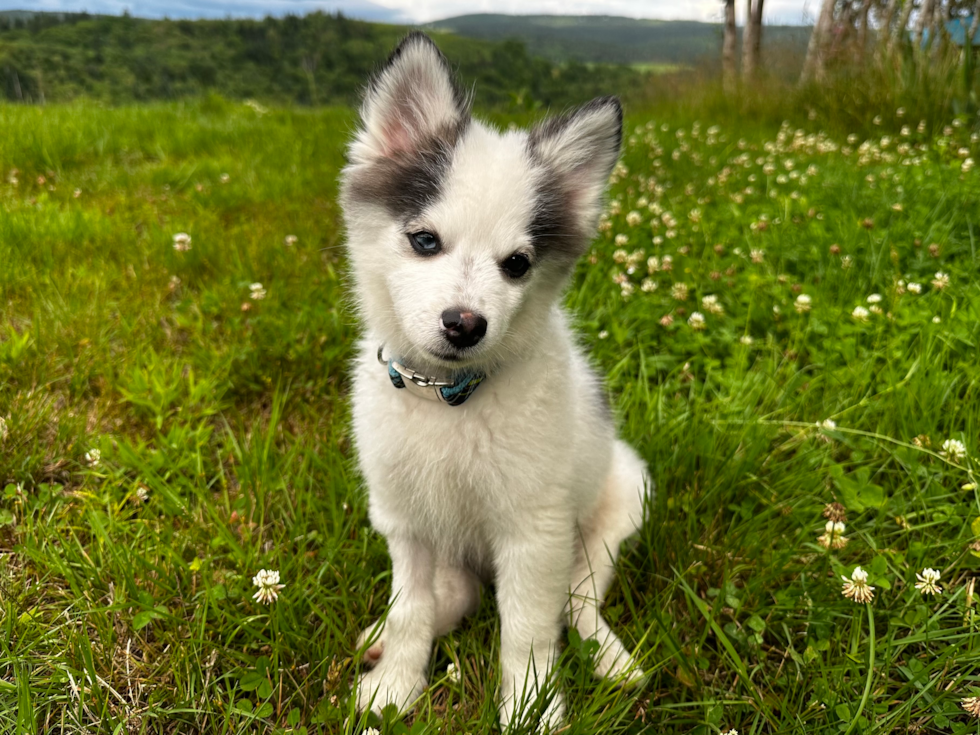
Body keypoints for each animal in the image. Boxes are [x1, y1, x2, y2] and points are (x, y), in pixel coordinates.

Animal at [340, 31, 656, 728]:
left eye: (517, 264)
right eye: (424, 241)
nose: (464, 325)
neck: (445, 397)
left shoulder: (533, 531)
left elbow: (528, 634)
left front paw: (531, 711)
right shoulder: (405, 523)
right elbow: (410, 611)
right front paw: (395, 688)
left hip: (616, 508)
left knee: (578, 602)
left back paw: (612, 659)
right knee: (449, 599)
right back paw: (378, 643)